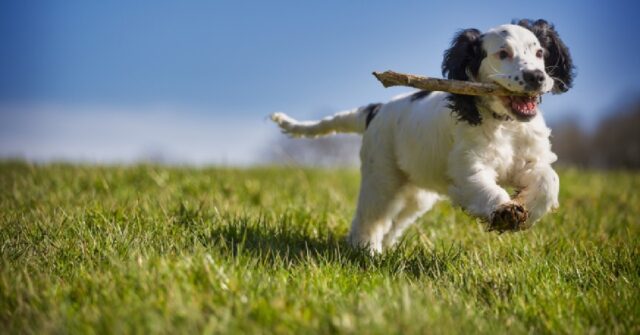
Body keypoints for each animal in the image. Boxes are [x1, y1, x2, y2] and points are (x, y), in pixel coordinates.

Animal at [270, 19, 576, 253]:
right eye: (502, 54)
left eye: (539, 53)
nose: (537, 77)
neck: (505, 124)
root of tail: (376, 109)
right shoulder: (468, 167)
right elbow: (484, 187)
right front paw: (504, 212)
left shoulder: (531, 160)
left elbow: (549, 181)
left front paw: (526, 209)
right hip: (382, 177)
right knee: (369, 218)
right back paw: (366, 251)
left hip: (417, 194)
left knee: (395, 222)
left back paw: (385, 249)